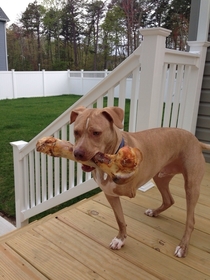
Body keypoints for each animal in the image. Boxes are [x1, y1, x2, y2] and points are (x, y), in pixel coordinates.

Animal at [69, 105, 209, 258]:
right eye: (76, 132)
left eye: (96, 133)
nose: (77, 153)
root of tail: (197, 141)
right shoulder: (111, 195)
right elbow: (120, 219)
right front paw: (120, 239)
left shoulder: (128, 187)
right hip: (160, 177)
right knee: (169, 200)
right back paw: (154, 212)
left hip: (191, 186)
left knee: (191, 220)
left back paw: (183, 247)